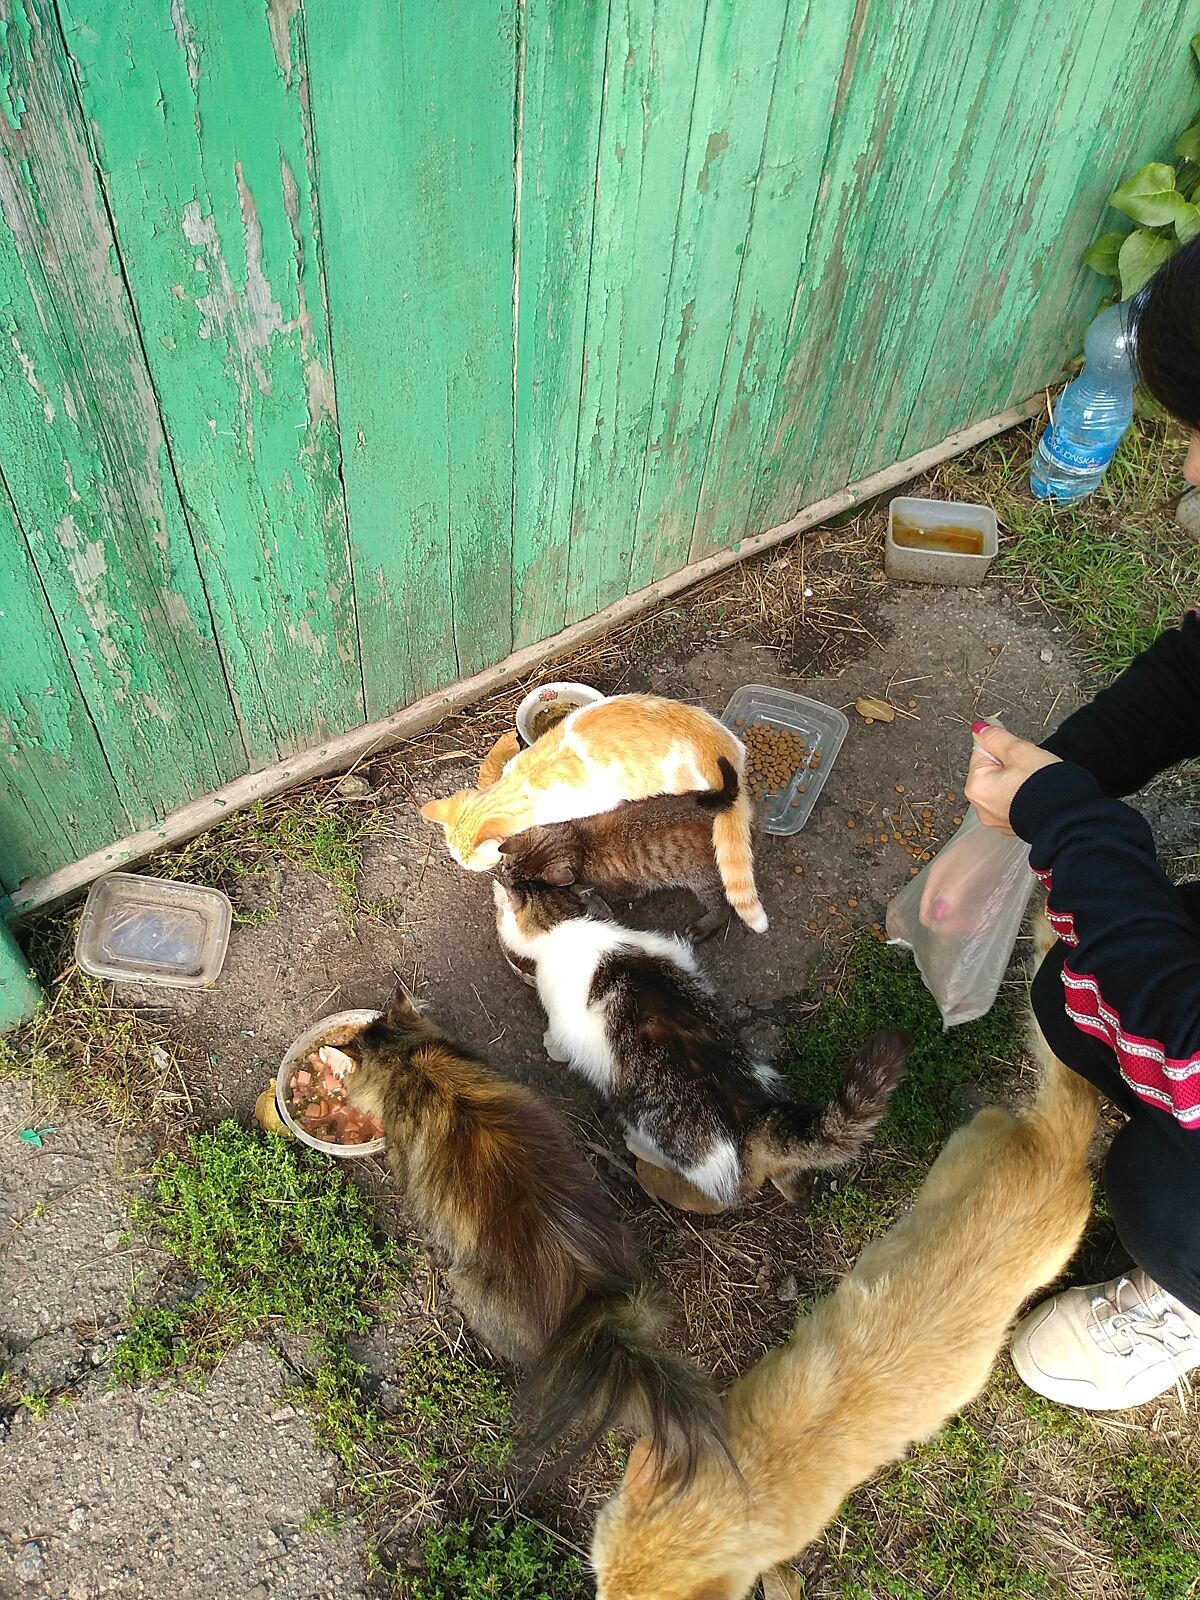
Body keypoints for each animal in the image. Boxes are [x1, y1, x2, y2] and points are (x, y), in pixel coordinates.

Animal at [493, 876, 911, 1211]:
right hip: (763, 1074)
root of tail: (750, 1123)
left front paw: (551, 1046)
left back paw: (637, 1146)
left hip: (661, 1131)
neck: (567, 924)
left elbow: (560, 1039)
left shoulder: (566, 1019)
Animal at [496, 757, 740, 939]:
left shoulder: (627, 887)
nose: (504, 879)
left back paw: (705, 926)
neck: (579, 841)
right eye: (506, 867)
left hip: (703, 880)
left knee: (724, 906)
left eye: (527, 882)